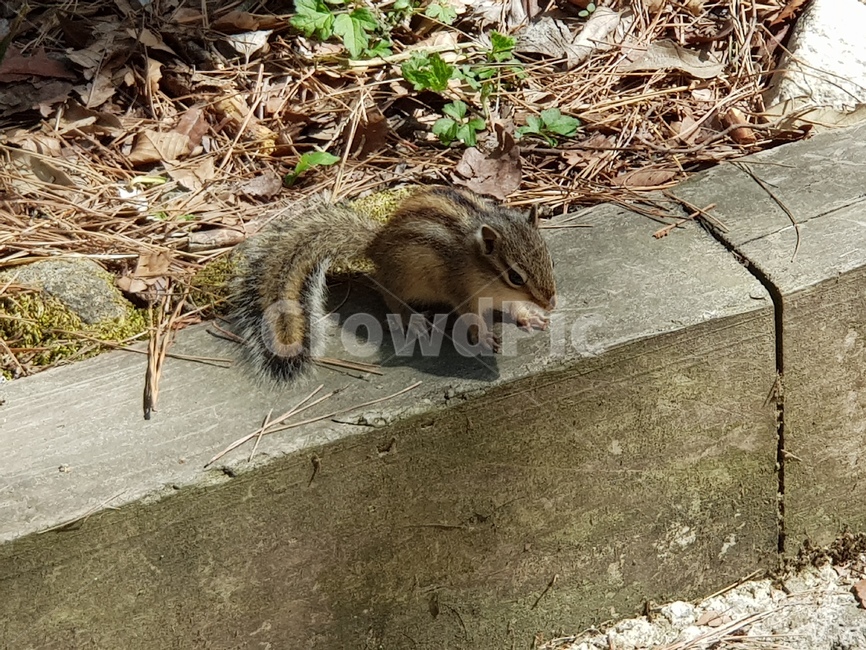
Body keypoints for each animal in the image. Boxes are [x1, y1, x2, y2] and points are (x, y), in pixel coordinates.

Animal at [232, 186, 557, 381]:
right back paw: (412, 320)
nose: (551, 303)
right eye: (516, 276)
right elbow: (471, 318)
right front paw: (486, 335)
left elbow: (516, 308)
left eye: (550, 260)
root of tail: (376, 245)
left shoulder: (506, 297)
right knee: (387, 294)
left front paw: (531, 317)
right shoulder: (461, 290)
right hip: (405, 279)